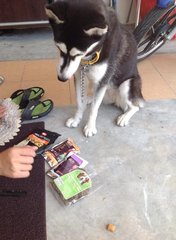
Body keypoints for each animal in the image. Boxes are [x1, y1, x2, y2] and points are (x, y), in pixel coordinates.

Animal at [45, 0, 144, 138]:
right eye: (59, 49)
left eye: (78, 54)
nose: (62, 78)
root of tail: (115, 99)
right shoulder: (79, 75)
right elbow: (79, 102)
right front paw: (76, 119)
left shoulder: (102, 81)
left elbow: (94, 109)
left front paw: (90, 126)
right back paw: (89, 98)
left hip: (126, 85)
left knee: (135, 107)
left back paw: (124, 116)